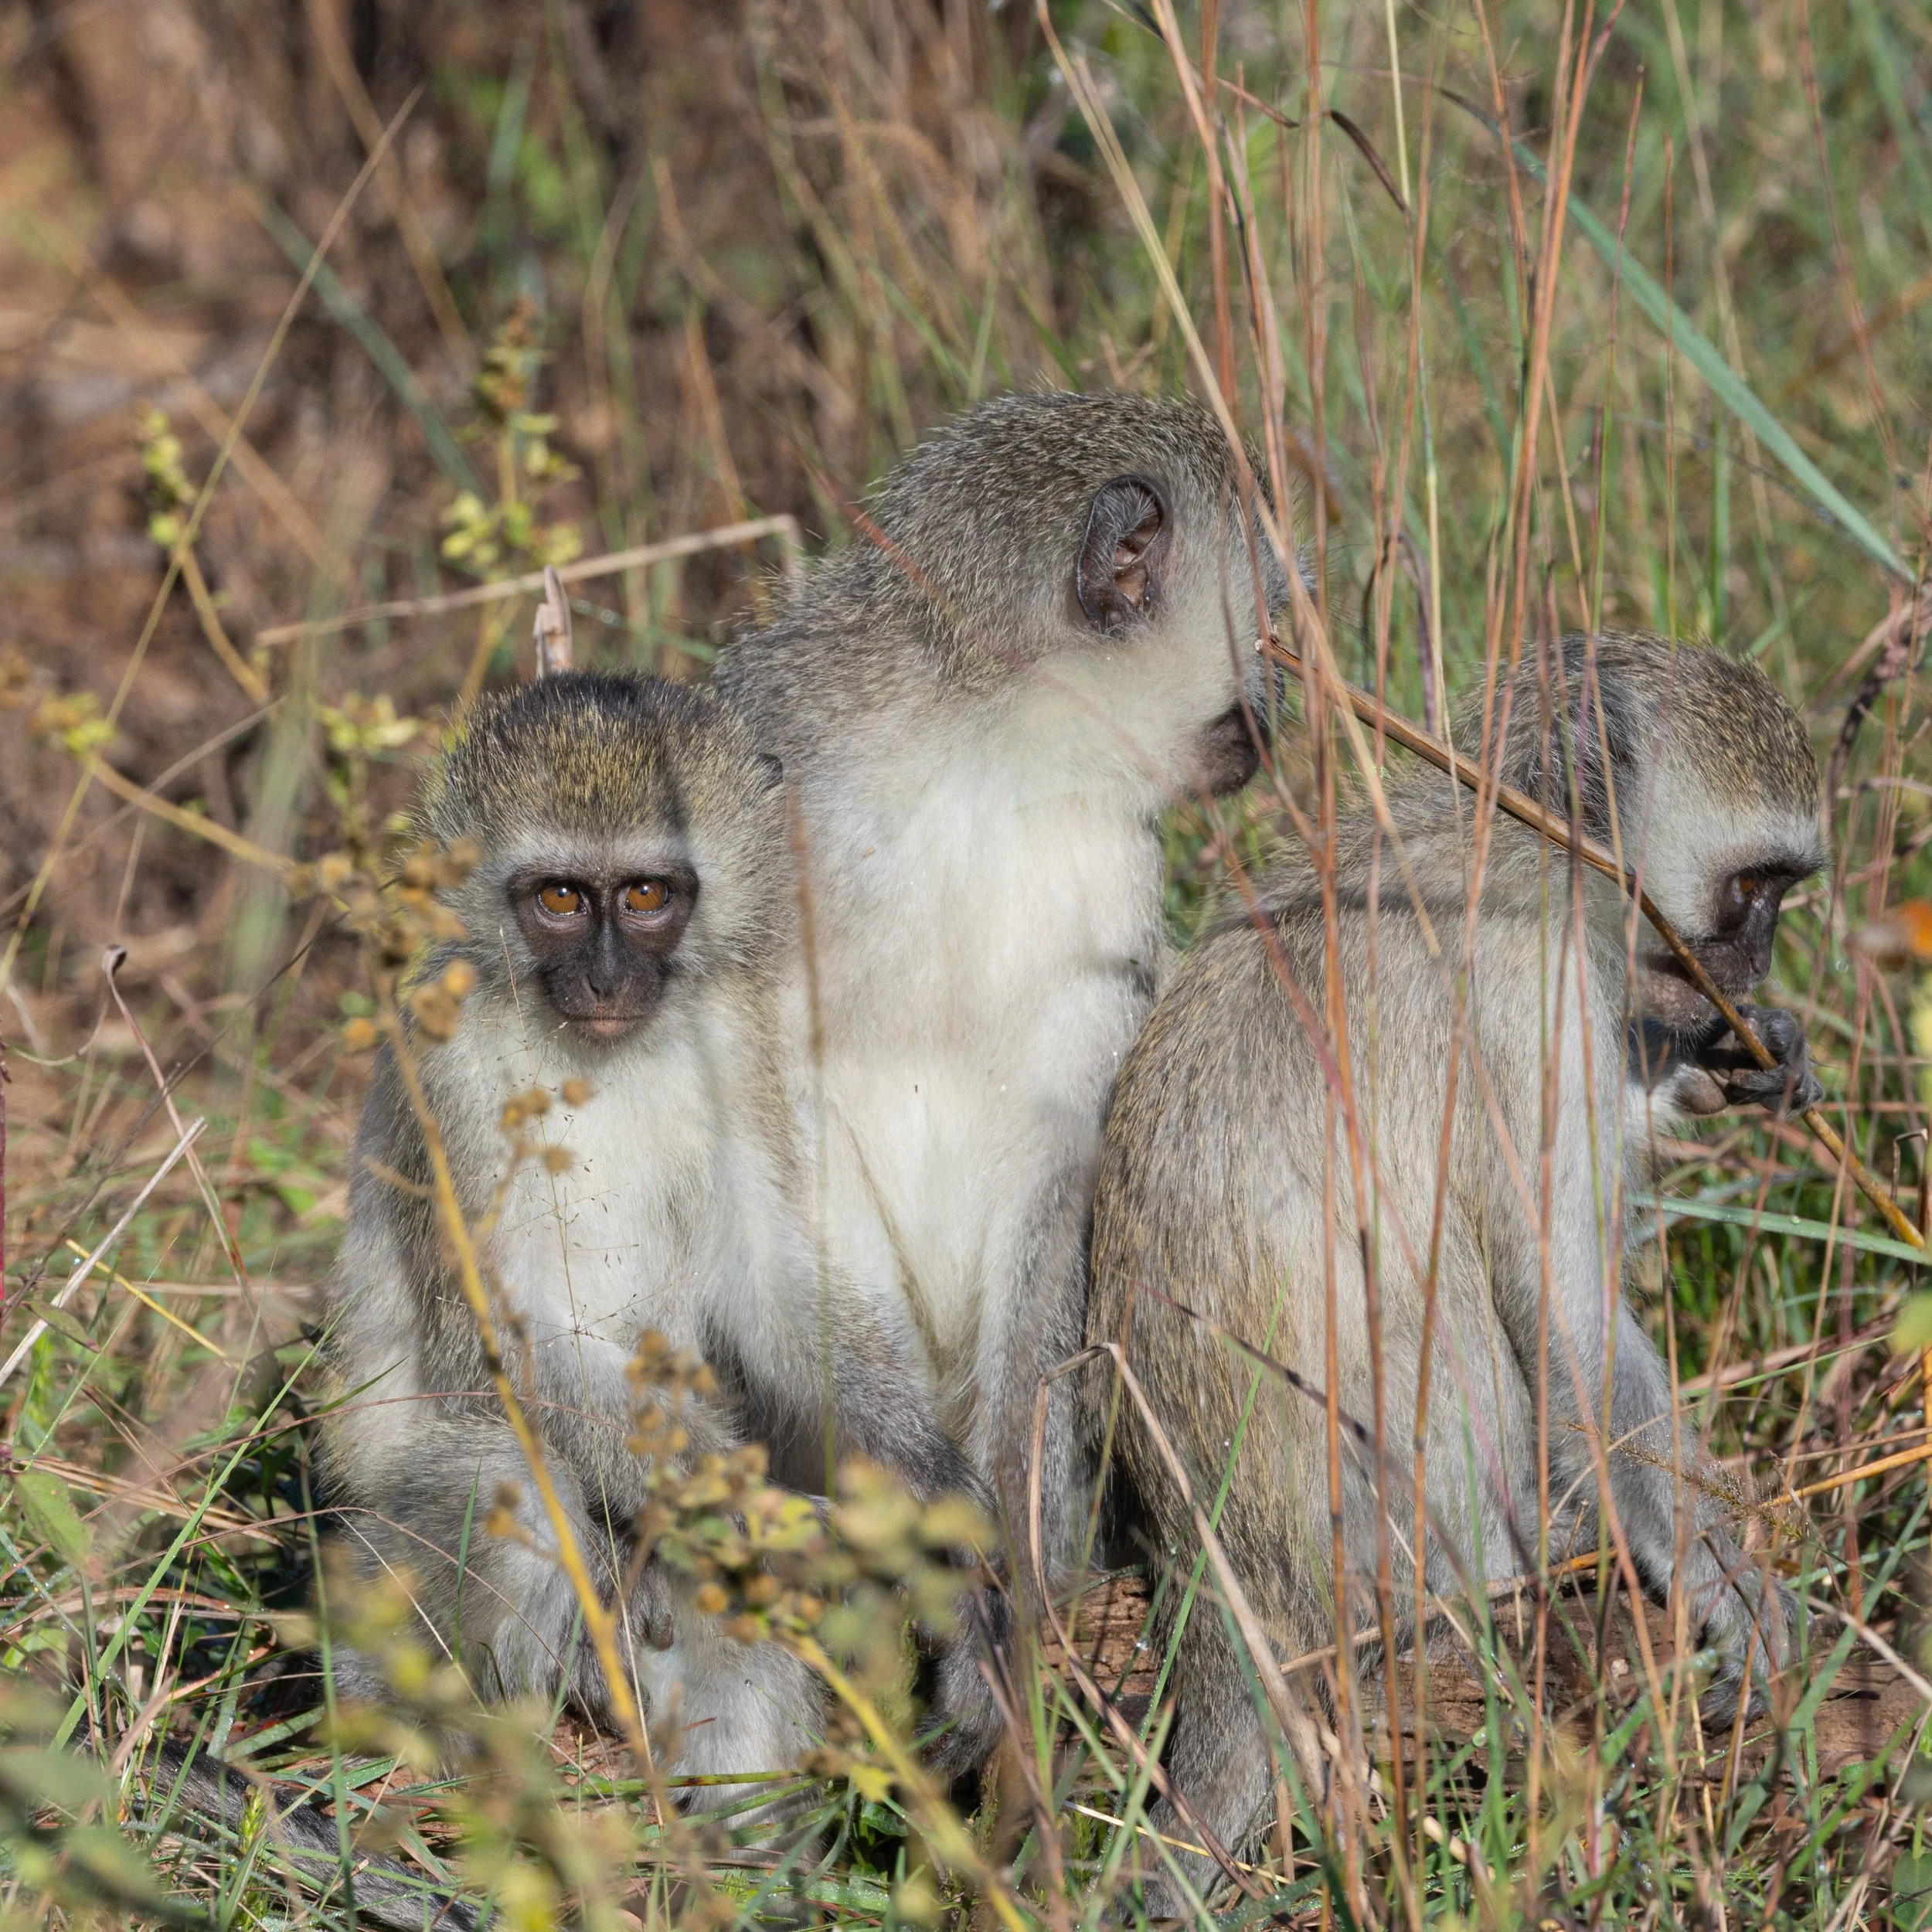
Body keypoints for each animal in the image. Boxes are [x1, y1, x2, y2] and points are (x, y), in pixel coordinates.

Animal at [318, 670, 1000, 1801]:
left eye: (644, 896)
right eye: (559, 899)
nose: (604, 982)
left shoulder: (741, 1030)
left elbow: (770, 1284)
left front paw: (933, 1504)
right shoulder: (443, 1057)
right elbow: (506, 1337)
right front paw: (769, 1522)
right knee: (500, 1477)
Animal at [716, 390, 1295, 1604]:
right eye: (1262, 628)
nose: (1269, 725)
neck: (991, 755)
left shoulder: (1106, 884)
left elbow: (1054, 1162)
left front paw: (1018, 1568)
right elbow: (768, 1147)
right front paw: (927, 1510)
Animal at [1084, 630, 1821, 1909]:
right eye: (1754, 890)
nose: (1757, 963)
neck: (1526, 847)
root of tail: (1227, 1584)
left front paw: (1745, 1058)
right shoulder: (1532, 995)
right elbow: (1570, 1331)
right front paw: (1730, 1585)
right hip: (1392, 1548)